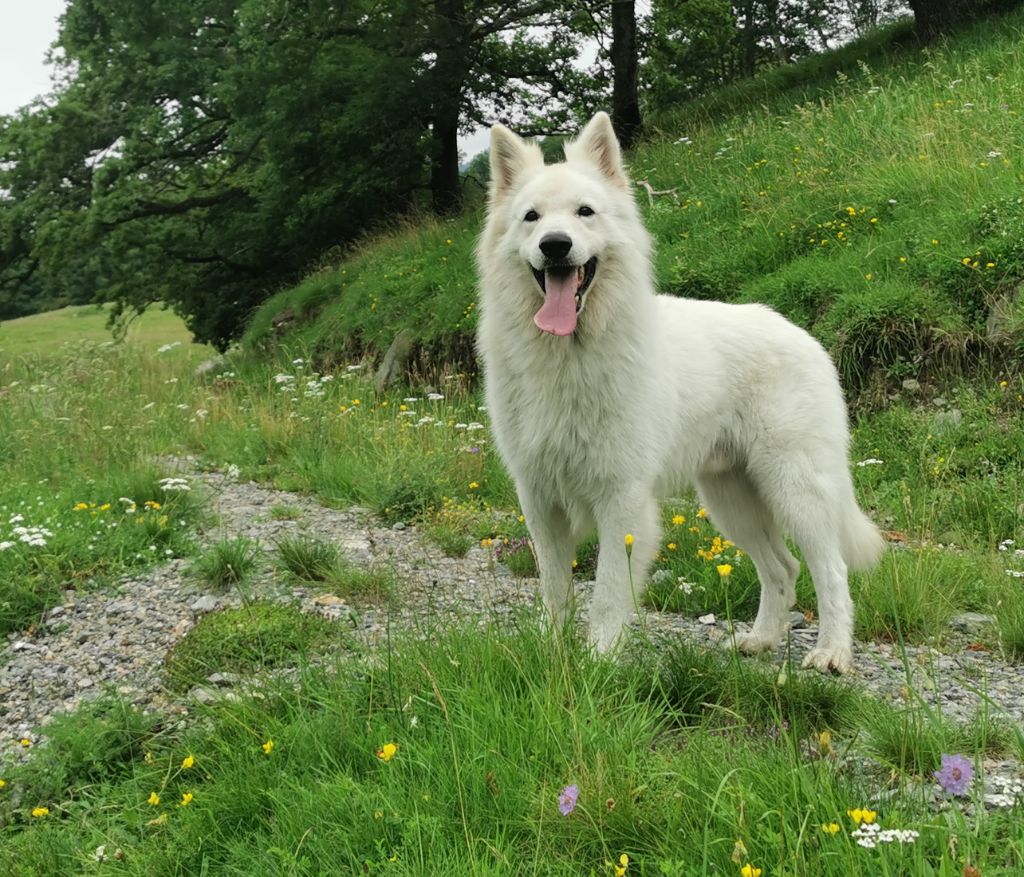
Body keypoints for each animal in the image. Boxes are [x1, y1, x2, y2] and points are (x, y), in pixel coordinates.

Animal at [475, 109, 884, 672]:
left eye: (585, 212)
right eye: (531, 217)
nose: (555, 245)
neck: (568, 356)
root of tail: (801, 334)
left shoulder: (622, 501)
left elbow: (607, 593)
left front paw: (598, 661)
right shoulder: (539, 499)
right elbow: (555, 589)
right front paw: (552, 654)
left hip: (795, 489)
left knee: (831, 571)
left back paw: (832, 652)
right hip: (732, 501)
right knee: (782, 568)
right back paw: (760, 640)